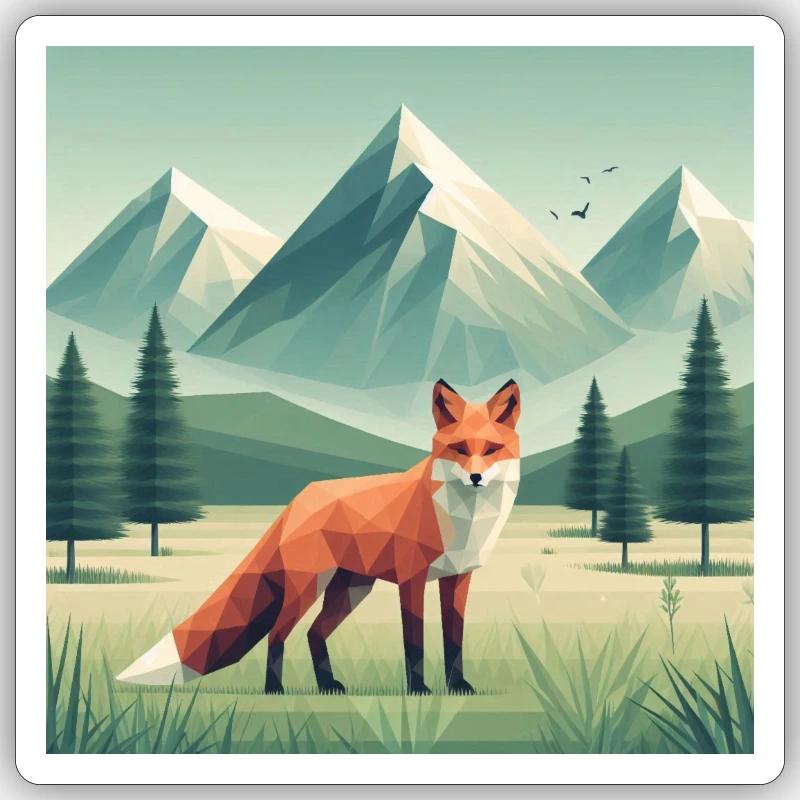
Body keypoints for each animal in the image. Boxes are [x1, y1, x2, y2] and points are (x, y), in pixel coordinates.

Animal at [117, 378, 521, 695]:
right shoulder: (412, 578)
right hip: (309, 587)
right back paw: (274, 689)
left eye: (491, 450)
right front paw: (419, 690)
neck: (463, 519)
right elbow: (415, 643)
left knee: (314, 633)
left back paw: (328, 685)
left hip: (351, 590)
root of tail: (299, 499)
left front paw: (458, 686)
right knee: (277, 634)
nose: (475, 477)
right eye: (459, 449)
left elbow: (454, 640)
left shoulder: (458, 578)